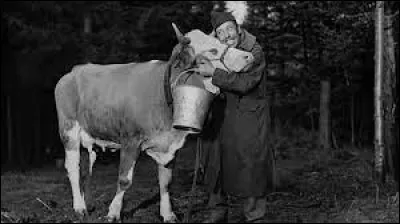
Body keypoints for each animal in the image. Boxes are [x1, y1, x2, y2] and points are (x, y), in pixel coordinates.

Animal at [54, 24, 253, 222]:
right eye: (213, 49)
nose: (248, 57)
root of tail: (75, 70)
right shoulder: (130, 140)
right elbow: (124, 180)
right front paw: (113, 213)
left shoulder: (171, 145)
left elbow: (166, 181)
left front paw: (168, 214)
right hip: (69, 130)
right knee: (73, 167)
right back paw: (79, 208)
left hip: (93, 134)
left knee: (87, 167)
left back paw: (87, 204)